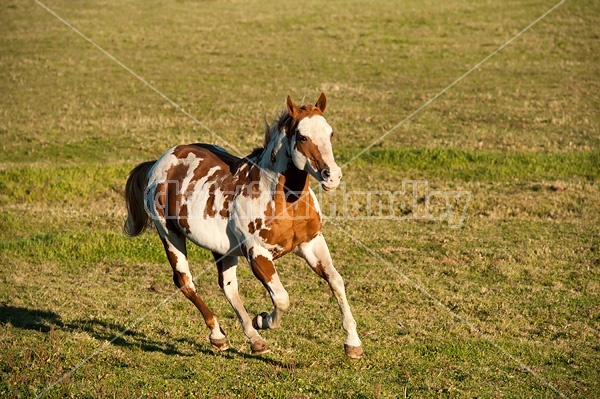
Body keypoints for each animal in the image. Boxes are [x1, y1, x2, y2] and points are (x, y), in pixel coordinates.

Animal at [124, 94, 364, 360]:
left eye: (330, 133)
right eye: (302, 137)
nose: (332, 176)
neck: (282, 199)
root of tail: (157, 164)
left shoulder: (311, 243)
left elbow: (336, 281)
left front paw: (353, 344)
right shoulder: (257, 254)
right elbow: (282, 298)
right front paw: (264, 319)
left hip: (222, 250)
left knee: (228, 287)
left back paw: (255, 340)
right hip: (170, 235)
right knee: (184, 281)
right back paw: (219, 336)